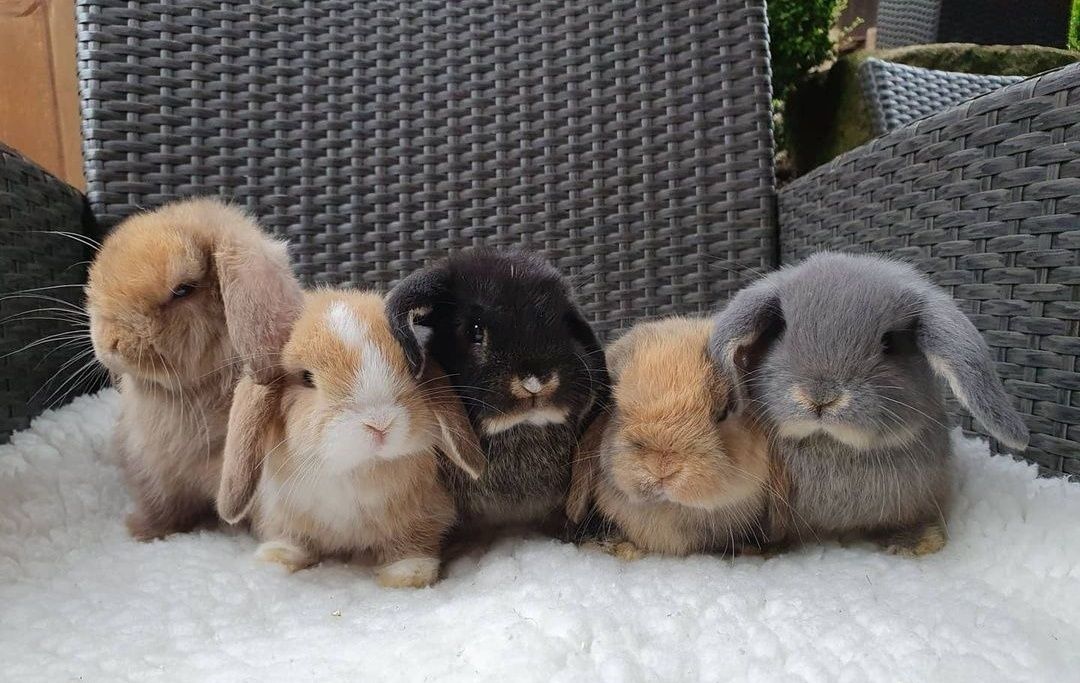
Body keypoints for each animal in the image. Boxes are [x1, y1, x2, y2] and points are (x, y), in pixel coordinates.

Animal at [84, 199, 302, 542]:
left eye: (183, 290)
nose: (111, 343)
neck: (192, 391)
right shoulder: (153, 472)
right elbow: (162, 509)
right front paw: (144, 532)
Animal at [216, 291, 486, 587]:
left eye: (409, 367)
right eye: (306, 378)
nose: (379, 422)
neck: (352, 470)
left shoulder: (420, 513)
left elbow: (411, 542)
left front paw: (408, 575)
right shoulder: (281, 509)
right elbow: (289, 536)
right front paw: (276, 558)